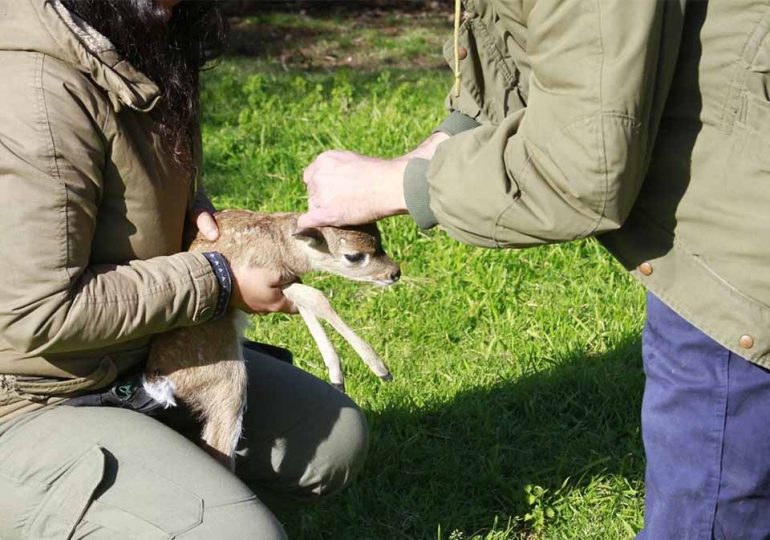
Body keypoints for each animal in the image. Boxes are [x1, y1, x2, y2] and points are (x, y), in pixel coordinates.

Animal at [142, 211, 402, 468]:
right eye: (353, 256)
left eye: (379, 236)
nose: (395, 272)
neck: (282, 248)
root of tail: (158, 383)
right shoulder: (265, 276)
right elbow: (317, 298)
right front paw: (380, 369)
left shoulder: (287, 279)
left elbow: (306, 305)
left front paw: (337, 375)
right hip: (224, 377)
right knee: (220, 438)